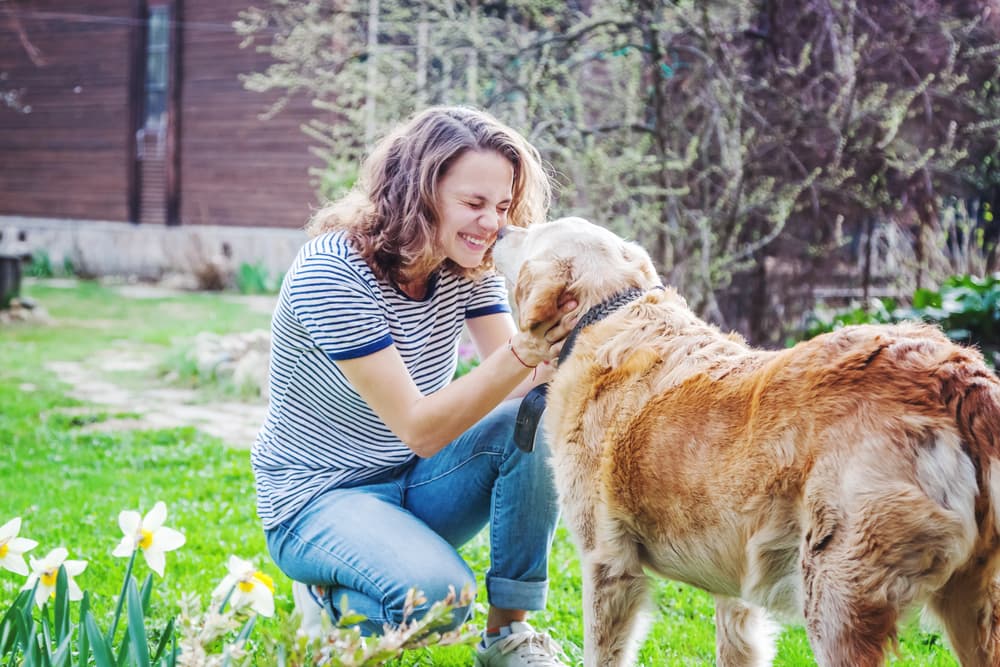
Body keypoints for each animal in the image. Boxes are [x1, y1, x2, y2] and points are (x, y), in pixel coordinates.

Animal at [496, 219, 1000, 667]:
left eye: (534, 232)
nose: (500, 229)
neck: (609, 312)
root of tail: (957, 377)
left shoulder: (608, 567)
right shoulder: (737, 585)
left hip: (837, 596)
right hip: (974, 607)